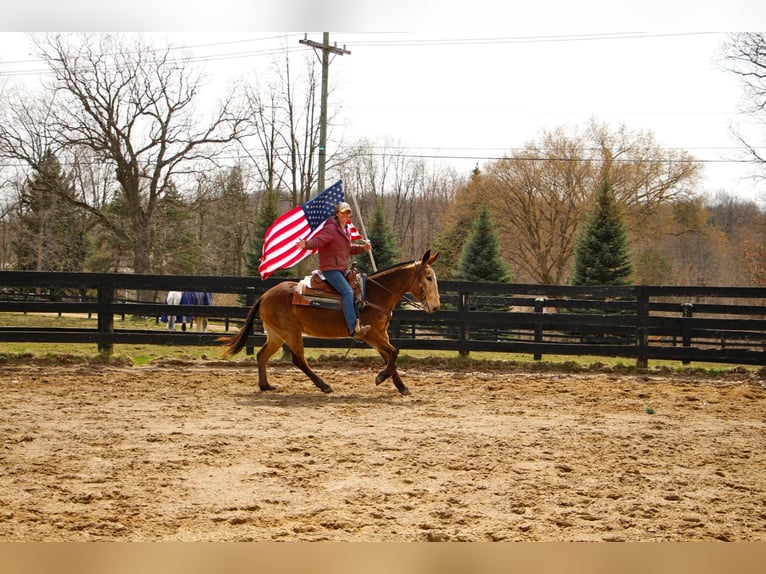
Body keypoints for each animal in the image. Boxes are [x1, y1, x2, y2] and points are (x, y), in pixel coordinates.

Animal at [219, 252, 440, 396]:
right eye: (429, 277)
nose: (436, 307)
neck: (376, 293)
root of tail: (264, 295)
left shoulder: (380, 333)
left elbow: (390, 356)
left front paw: (400, 386)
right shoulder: (368, 334)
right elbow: (393, 353)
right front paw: (381, 378)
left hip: (276, 334)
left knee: (262, 355)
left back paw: (265, 385)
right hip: (291, 333)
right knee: (299, 360)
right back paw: (324, 386)